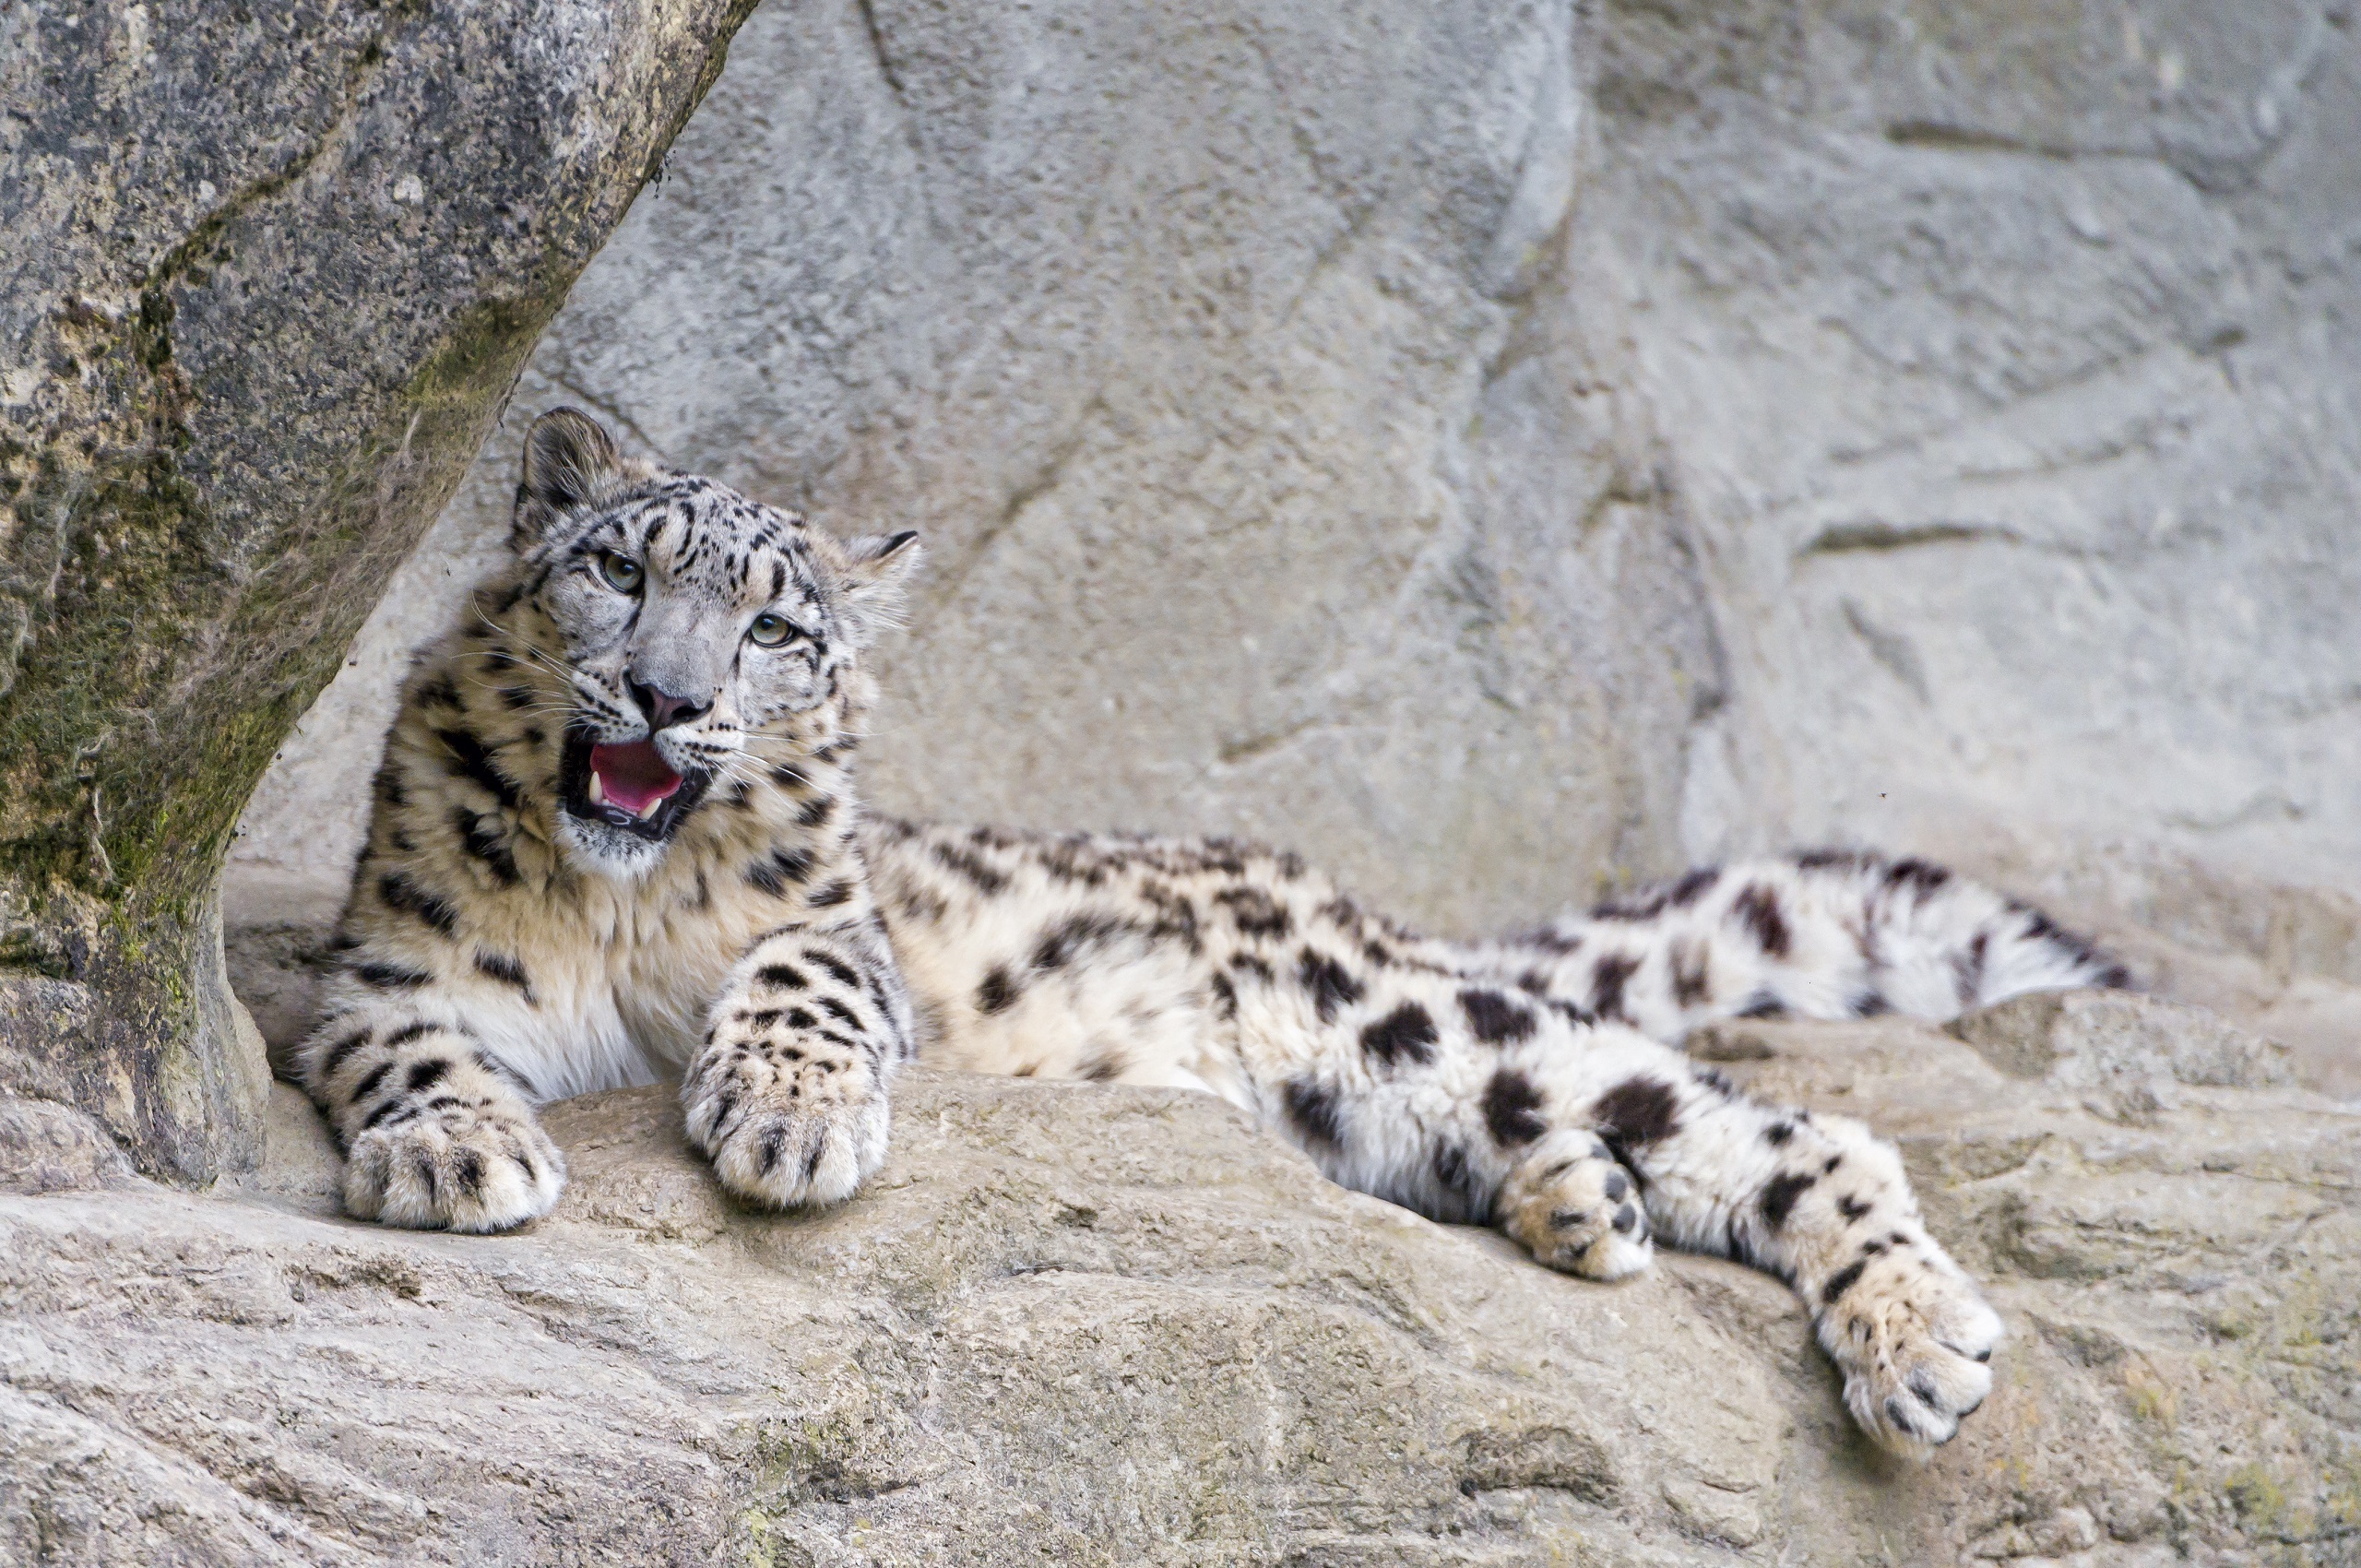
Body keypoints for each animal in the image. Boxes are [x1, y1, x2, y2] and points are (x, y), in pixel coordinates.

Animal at [300, 403, 2143, 1455]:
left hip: (1401, 1027)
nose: (670, 698)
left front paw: (788, 1122)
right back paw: (1579, 1205)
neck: (616, 911)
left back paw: (1914, 1343)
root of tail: (1341, 897)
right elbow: (407, 1042)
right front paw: (457, 1155)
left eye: (773, 631)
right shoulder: (382, 957)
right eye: (618, 569)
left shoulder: (842, 929)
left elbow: (802, 975)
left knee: (1788, 1127)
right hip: (1381, 1107)